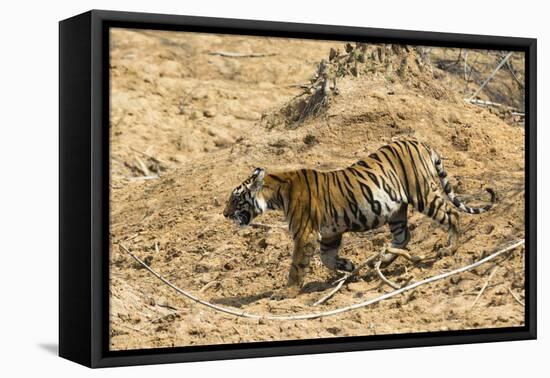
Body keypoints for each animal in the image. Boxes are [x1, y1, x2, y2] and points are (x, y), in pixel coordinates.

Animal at [222, 137, 498, 300]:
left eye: (235, 199)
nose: (224, 214)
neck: (276, 192)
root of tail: (419, 141)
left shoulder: (305, 234)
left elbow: (297, 266)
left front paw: (286, 292)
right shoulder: (329, 233)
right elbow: (327, 258)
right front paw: (348, 267)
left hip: (423, 194)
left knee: (451, 214)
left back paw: (450, 249)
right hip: (396, 210)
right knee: (403, 236)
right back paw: (383, 261)